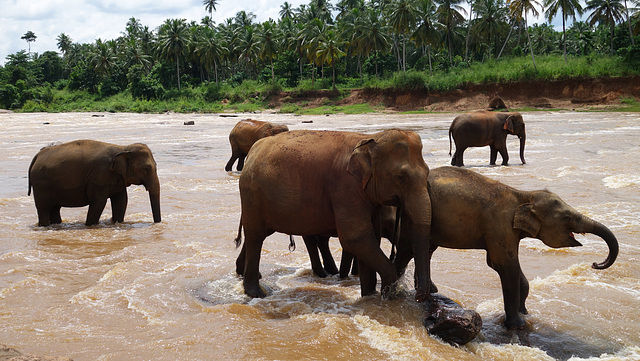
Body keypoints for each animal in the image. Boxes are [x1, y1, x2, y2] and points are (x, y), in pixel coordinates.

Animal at [28, 140, 161, 226]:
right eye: (147, 169)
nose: (157, 223)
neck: (122, 148)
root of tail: (36, 156)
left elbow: (121, 200)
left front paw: (117, 223)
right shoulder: (99, 176)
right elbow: (99, 202)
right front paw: (90, 225)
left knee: (55, 208)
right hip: (40, 185)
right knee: (43, 208)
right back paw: (44, 226)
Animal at [232, 129, 432, 300]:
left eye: (427, 172)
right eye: (401, 177)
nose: (419, 297)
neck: (368, 139)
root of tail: (252, 152)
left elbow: (372, 236)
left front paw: (369, 295)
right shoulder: (345, 187)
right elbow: (356, 237)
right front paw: (389, 293)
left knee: (259, 233)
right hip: (252, 193)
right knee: (256, 235)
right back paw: (256, 293)